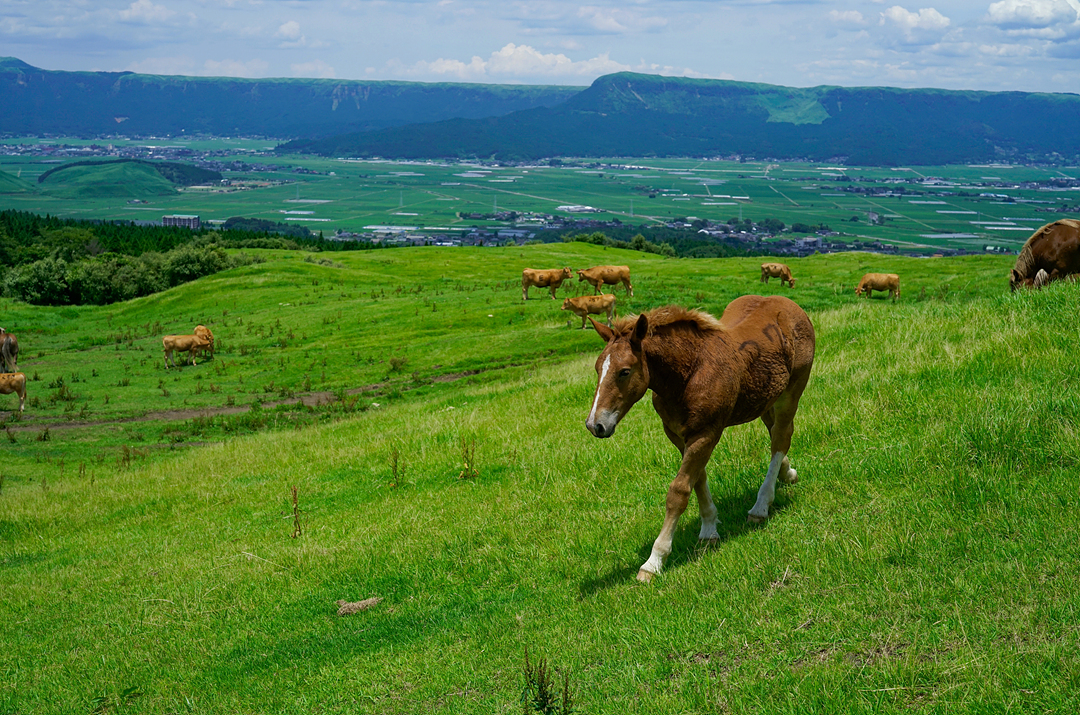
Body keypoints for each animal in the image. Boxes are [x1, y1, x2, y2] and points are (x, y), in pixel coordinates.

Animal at [587, 295, 812, 583]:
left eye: (624, 371)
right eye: (597, 369)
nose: (595, 425)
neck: (688, 373)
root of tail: (789, 304)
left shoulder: (706, 432)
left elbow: (680, 490)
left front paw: (654, 561)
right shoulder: (677, 434)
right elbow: (698, 478)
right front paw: (709, 530)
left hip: (792, 390)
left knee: (781, 437)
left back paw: (760, 507)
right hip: (765, 396)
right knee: (775, 432)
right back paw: (787, 473)